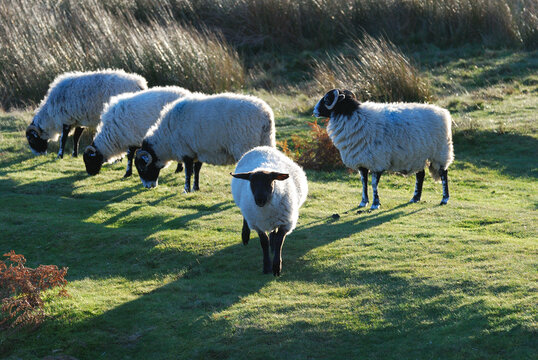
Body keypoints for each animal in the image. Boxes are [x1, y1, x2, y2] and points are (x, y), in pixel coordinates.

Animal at [134, 94, 276, 193]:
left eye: (142, 168)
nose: (148, 187)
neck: (166, 138)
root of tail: (266, 116)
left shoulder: (186, 151)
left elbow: (188, 172)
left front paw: (186, 190)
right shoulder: (198, 151)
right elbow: (197, 170)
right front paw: (196, 188)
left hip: (245, 146)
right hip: (266, 141)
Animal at [229, 146, 306, 276]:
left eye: (270, 181)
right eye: (251, 182)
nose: (259, 200)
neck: (265, 209)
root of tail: (261, 147)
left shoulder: (285, 223)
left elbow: (279, 241)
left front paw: (276, 267)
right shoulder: (257, 225)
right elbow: (264, 243)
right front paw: (266, 266)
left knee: (273, 232)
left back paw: (273, 244)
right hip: (246, 208)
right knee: (245, 218)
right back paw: (245, 236)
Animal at [310, 88, 452, 210]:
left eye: (327, 99)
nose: (314, 111)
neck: (352, 116)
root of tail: (442, 112)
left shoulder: (377, 160)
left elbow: (373, 184)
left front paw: (375, 204)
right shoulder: (362, 161)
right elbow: (363, 182)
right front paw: (363, 202)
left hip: (441, 151)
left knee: (443, 173)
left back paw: (444, 199)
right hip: (417, 154)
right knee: (420, 175)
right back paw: (415, 198)